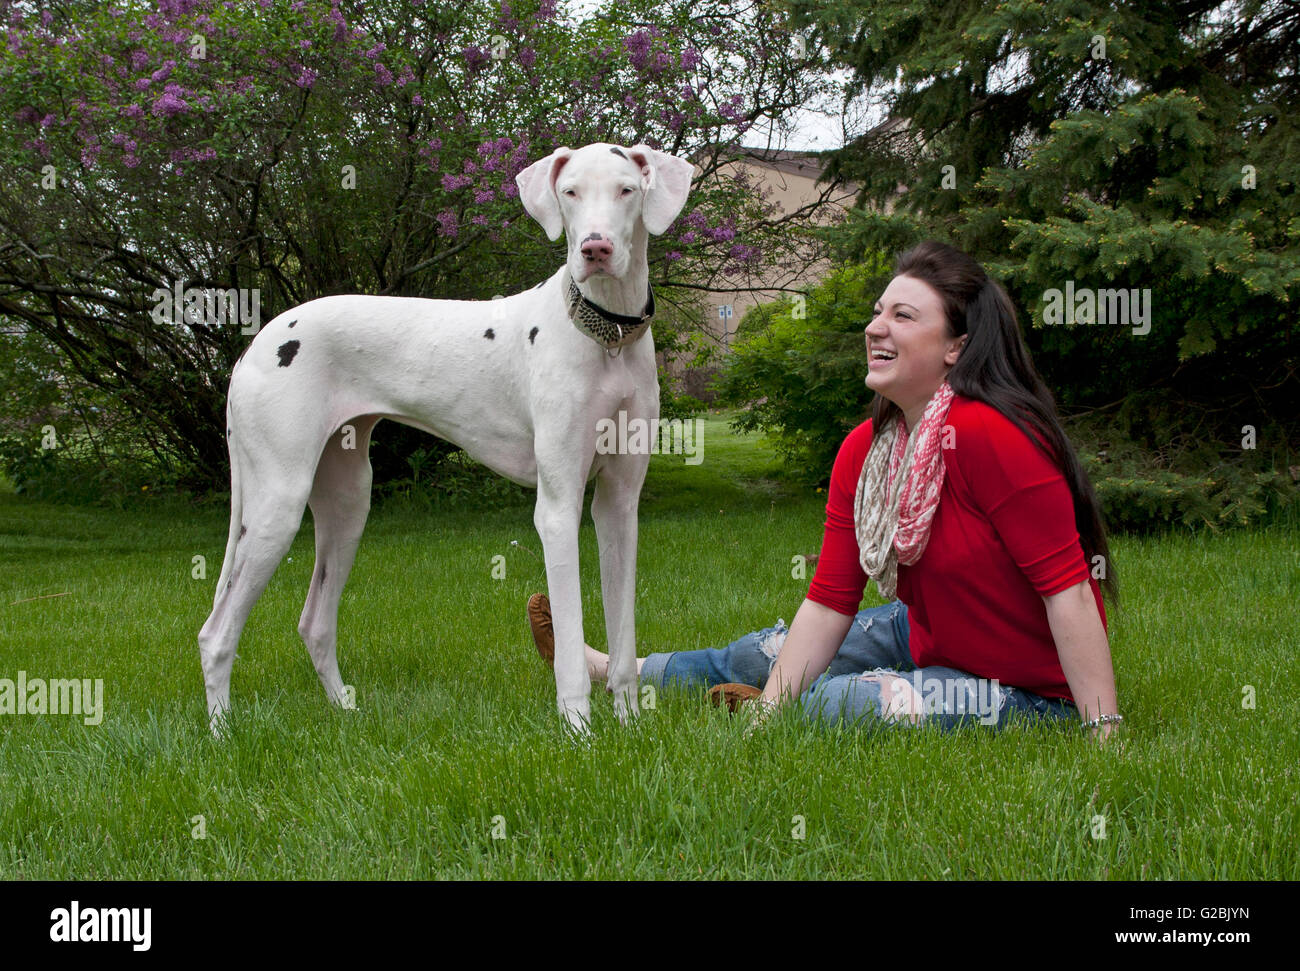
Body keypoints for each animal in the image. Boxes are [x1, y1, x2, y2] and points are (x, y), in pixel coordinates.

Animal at [197, 142, 696, 738]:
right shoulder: (558, 510)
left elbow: (622, 642)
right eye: (570, 192)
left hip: (347, 507)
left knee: (314, 621)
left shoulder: (618, 507)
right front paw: (578, 734)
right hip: (278, 505)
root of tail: (256, 343)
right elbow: (572, 647)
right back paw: (223, 735)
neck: (607, 336)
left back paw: (345, 710)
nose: (595, 248)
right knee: (217, 633)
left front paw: (629, 728)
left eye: (626, 190)